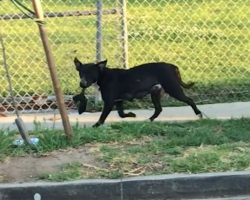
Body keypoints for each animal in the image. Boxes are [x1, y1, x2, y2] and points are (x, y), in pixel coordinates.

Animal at [73, 57, 201, 126]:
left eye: (91, 73)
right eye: (81, 73)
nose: (82, 84)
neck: (103, 74)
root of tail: (172, 66)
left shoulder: (109, 102)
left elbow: (102, 117)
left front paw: (96, 126)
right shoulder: (118, 101)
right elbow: (121, 114)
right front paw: (131, 114)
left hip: (173, 89)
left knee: (189, 100)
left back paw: (199, 114)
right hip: (155, 92)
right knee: (158, 109)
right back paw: (149, 120)